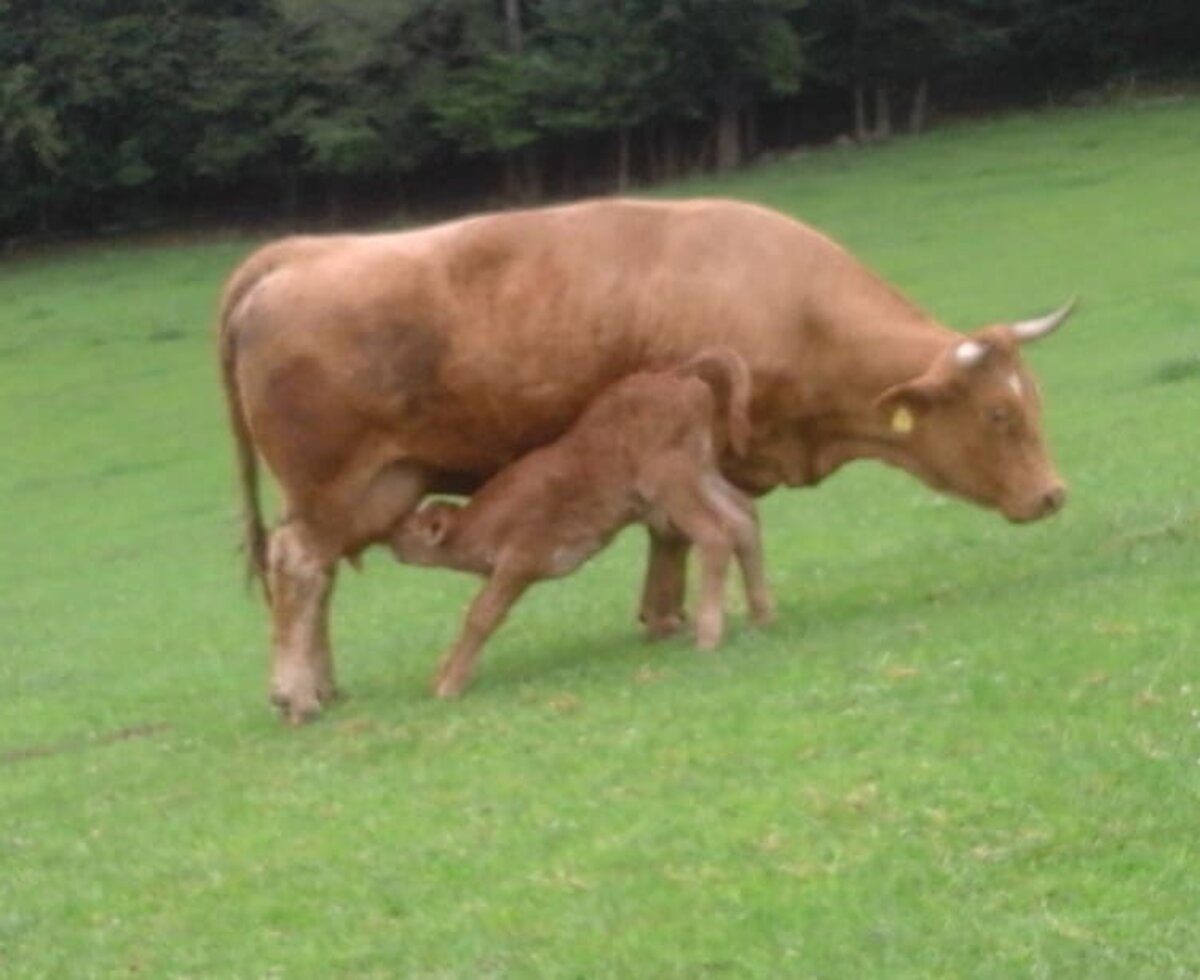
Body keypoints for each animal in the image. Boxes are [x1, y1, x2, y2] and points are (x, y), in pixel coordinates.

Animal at [388, 343, 772, 695]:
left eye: (406, 529)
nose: (387, 537)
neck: (481, 522)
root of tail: (675, 376)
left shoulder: (519, 561)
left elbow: (482, 614)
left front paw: (447, 685)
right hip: (701, 473)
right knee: (742, 517)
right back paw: (761, 617)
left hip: (671, 482)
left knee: (715, 534)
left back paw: (709, 636)